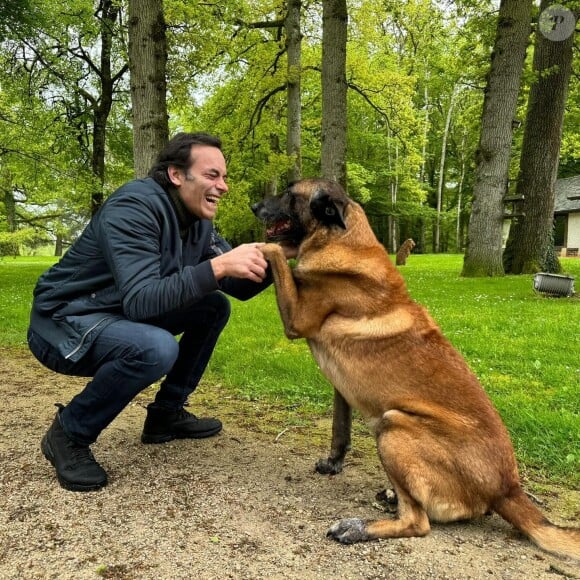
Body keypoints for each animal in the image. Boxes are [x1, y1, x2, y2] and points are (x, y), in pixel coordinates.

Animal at [254, 179, 580, 560]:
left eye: (290, 194)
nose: (254, 206)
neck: (341, 240)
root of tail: (507, 489)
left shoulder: (297, 318)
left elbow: (273, 250)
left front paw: (257, 247)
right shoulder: (341, 388)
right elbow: (339, 429)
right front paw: (333, 462)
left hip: (394, 424)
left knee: (418, 522)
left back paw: (359, 527)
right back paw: (389, 496)